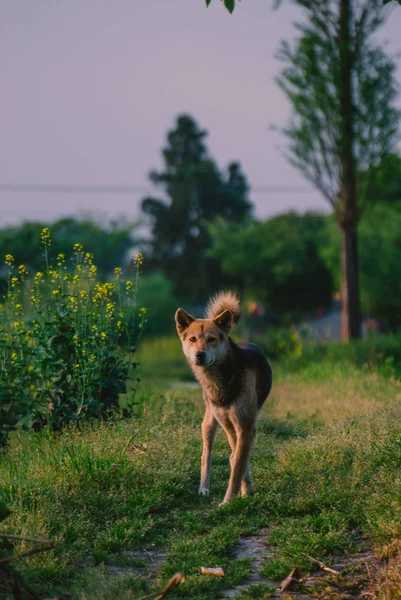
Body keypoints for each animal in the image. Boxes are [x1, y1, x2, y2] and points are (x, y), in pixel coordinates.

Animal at [175, 292, 272, 504]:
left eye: (211, 339)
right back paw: (204, 488)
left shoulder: (244, 427)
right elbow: (237, 462)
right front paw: (238, 494)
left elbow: (237, 466)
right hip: (210, 423)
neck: (220, 379)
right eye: (193, 339)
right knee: (206, 455)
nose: (199, 355)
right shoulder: (230, 425)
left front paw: (230, 499)